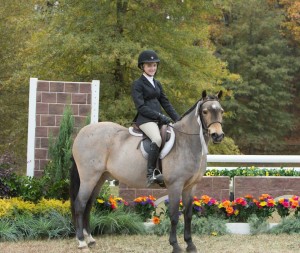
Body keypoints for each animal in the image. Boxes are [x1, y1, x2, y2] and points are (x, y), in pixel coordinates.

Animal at [70, 91, 224, 253]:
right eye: (205, 111)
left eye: (221, 111)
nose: (217, 135)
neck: (186, 142)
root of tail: (82, 132)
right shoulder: (175, 185)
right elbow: (174, 216)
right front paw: (175, 245)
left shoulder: (190, 186)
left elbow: (188, 215)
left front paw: (190, 245)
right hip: (88, 177)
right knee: (80, 204)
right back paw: (82, 242)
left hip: (100, 177)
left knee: (88, 204)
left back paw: (90, 239)